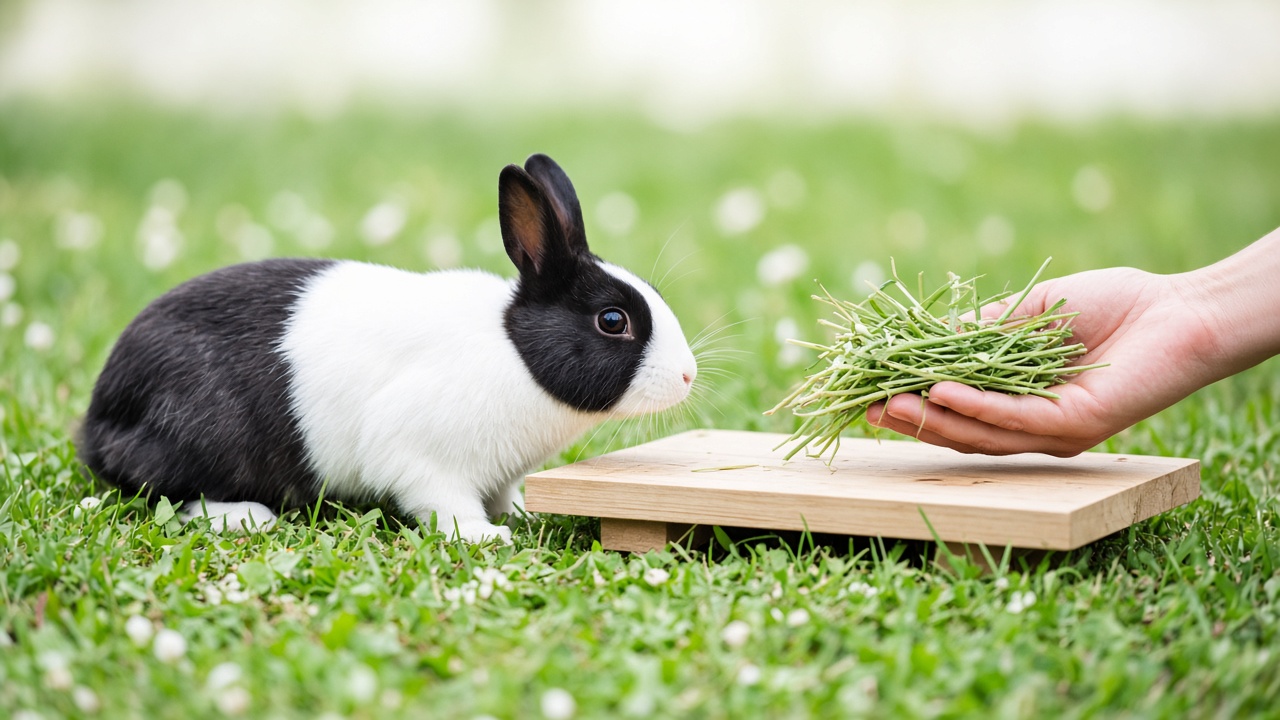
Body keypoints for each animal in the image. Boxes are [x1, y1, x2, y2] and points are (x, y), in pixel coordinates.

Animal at [79, 153, 698, 542]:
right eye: (613, 320)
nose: (689, 375)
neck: (517, 354)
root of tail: (102, 414)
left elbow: (504, 494)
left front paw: (518, 514)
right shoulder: (419, 455)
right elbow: (444, 502)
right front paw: (486, 537)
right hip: (206, 436)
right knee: (173, 491)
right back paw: (247, 517)